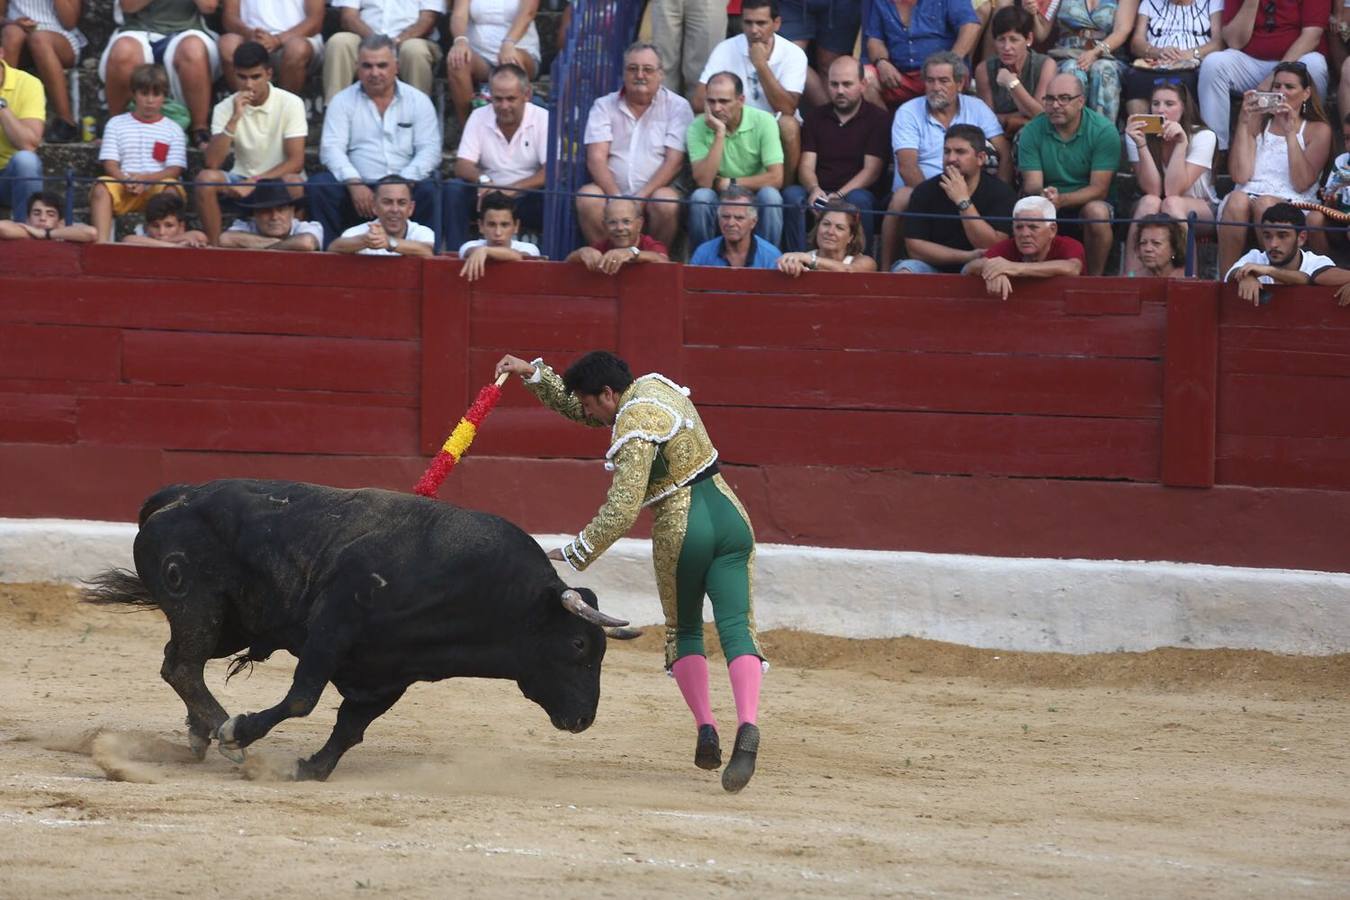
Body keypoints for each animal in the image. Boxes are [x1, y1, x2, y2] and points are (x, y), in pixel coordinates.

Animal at [83, 477, 626, 782]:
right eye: (579, 643)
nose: (584, 719)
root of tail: (179, 496)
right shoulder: (332, 626)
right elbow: (302, 698)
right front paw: (240, 734)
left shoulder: (390, 674)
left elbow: (350, 729)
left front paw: (306, 769)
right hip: (198, 603)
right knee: (183, 666)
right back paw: (223, 732)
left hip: (230, 625)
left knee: (178, 662)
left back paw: (200, 732)